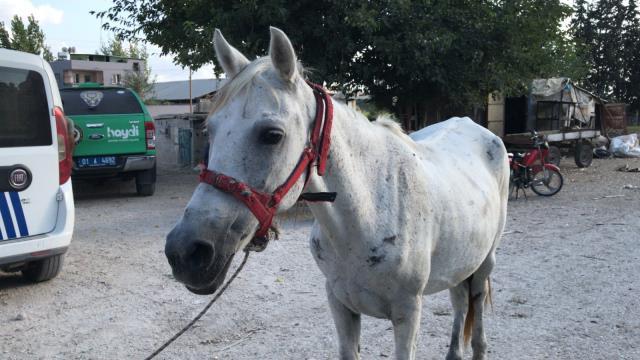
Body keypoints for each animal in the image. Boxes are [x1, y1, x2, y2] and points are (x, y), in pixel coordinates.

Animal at [166, 26, 510, 358]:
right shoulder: (340, 304)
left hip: (484, 266)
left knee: (476, 327)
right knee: (459, 303)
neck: (368, 212)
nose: (185, 252)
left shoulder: (408, 313)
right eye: (210, 129)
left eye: (272, 135)